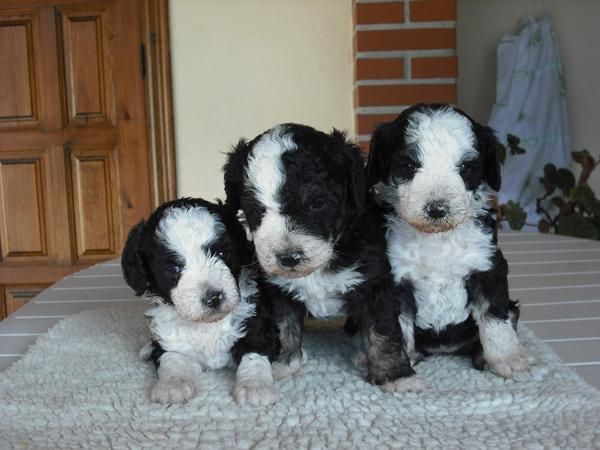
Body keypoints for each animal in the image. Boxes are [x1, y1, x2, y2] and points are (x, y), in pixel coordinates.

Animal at [123, 199, 282, 406]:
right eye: (173, 268)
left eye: (222, 253)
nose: (213, 298)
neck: (206, 324)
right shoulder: (172, 339)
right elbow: (172, 359)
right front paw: (172, 386)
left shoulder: (256, 324)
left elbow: (254, 355)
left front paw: (254, 386)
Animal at [223, 125, 424, 392]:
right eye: (257, 210)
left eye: (317, 203)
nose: (288, 258)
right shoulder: (277, 289)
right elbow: (284, 326)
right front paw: (284, 363)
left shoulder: (373, 281)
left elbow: (384, 332)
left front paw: (396, 376)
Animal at [368, 104, 536, 380]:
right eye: (409, 165)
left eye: (466, 168)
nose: (437, 209)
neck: (436, 239)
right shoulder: (395, 278)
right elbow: (399, 326)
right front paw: (402, 362)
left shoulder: (487, 268)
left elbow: (494, 318)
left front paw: (508, 359)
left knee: (509, 315)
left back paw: (483, 356)